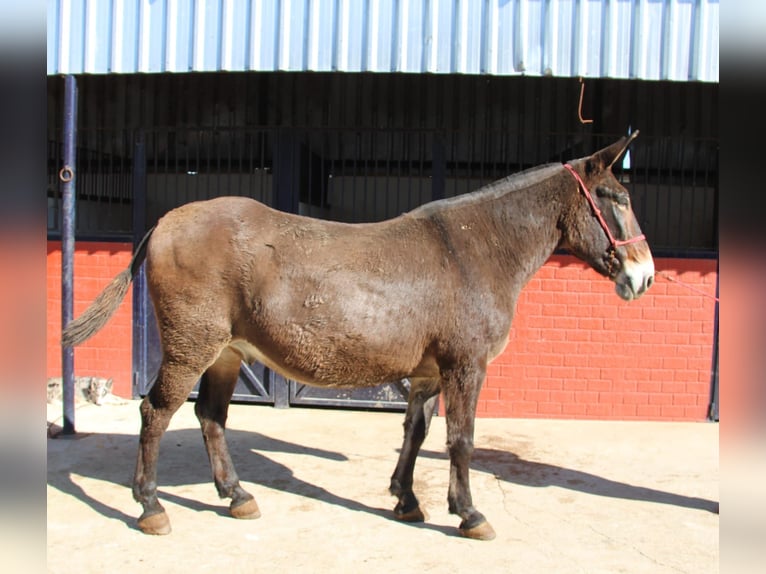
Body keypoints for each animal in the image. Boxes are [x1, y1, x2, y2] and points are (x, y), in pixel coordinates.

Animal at [62, 131, 654, 540]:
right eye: (615, 197)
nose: (644, 276)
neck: (474, 248)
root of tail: (166, 221)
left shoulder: (428, 373)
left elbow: (416, 434)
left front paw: (406, 501)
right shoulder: (466, 367)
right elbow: (461, 440)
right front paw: (468, 514)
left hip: (227, 353)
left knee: (210, 417)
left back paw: (236, 496)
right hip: (192, 348)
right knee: (156, 413)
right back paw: (151, 506)